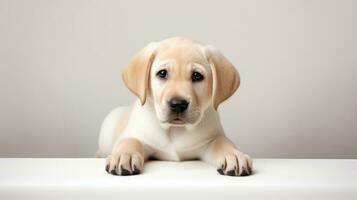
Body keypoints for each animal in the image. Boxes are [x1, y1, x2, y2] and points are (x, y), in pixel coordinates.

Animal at [96, 36, 252, 176]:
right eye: (162, 73)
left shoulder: (210, 140)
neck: (175, 130)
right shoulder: (137, 135)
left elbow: (222, 142)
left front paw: (233, 155)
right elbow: (129, 142)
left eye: (197, 76)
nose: (178, 104)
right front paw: (124, 156)